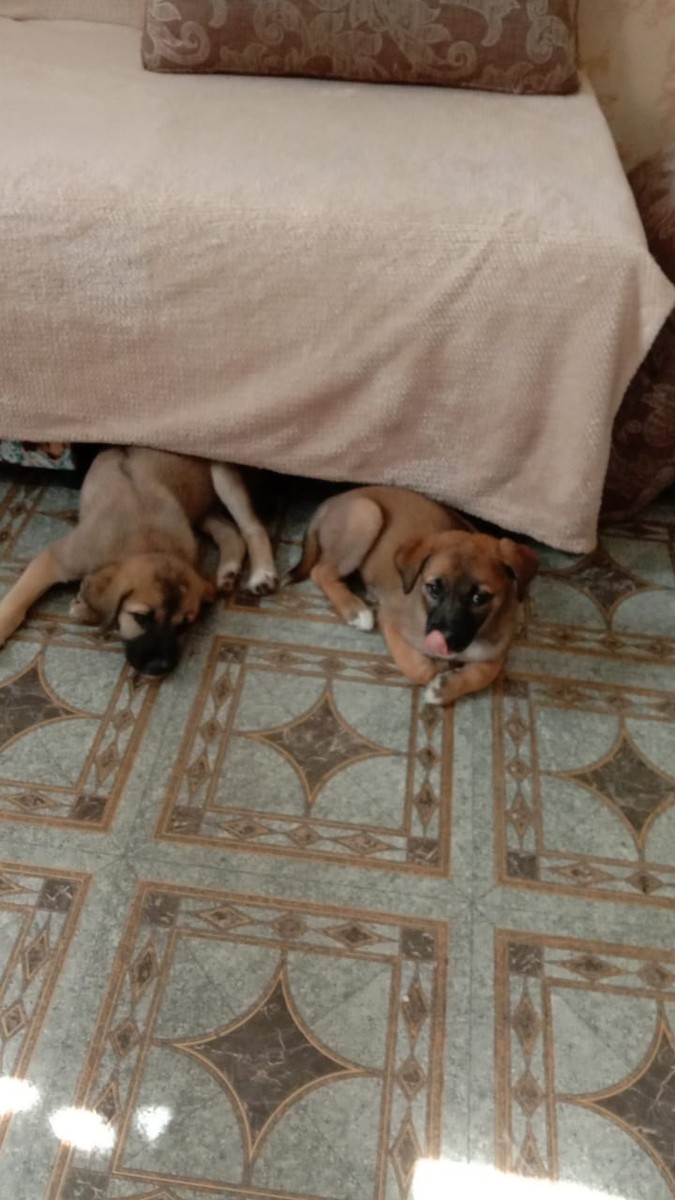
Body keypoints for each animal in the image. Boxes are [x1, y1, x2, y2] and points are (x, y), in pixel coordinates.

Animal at [0, 447, 278, 676]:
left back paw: (262, 574)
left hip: (223, 475)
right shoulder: (54, 560)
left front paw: (83, 607)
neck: (147, 543)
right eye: (141, 618)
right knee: (230, 531)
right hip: (199, 507)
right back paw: (227, 572)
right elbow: (17, 601)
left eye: (184, 625)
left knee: (252, 527)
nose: (161, 668)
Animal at [288, 485, 538, 705]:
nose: (443, 639)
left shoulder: (499, 647)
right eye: (433, 588)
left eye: (479, 598)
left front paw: (445, 688)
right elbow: (419, 667)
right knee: (320, 572)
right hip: (368, 515)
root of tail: (333, 501)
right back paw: (355, 609)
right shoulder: (390, 619)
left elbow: (487, 672)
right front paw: (439, 671)